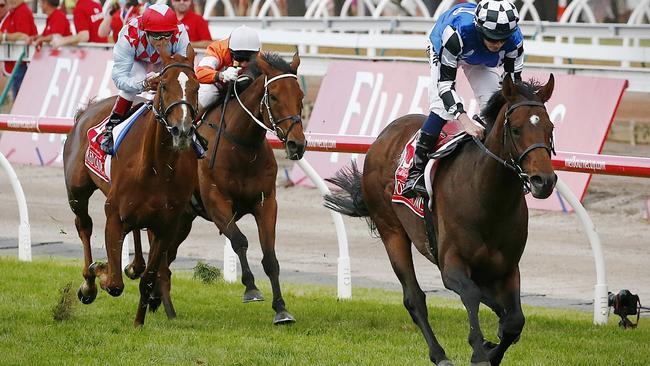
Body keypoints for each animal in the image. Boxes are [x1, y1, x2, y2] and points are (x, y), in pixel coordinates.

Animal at [65, 44, 200, 328]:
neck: (157, 167)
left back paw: (134, 265)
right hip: (76, 193)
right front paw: (100, 271)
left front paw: (138, 322)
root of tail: (86, 111)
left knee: (136, 232)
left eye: (196, 86)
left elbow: (149, 279)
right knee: (84, 225)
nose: (182, 131)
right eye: (163, 86)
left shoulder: (166, 226)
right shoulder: (114, 216)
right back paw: (88, 283)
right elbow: (114, 283)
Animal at [124, 50, 306, 324]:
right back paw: (166, 307)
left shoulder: (266, 203)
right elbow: (239, 241)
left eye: (300, 96)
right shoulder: (216, 201)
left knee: (168, 258)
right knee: (162, 262)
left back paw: (157, 299)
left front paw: (281, 309)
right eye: (273, 96)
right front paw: (251, 289)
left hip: (182, 221)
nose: (297, 144)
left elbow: (270, 256)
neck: (242, 145)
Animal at [324, 75, 556, 366]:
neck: (488, 198)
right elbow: (472, 294)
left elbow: (514, 319)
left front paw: (493, 346)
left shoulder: (509, 267)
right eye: (515, 129)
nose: (544, 181)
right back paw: (440, 354)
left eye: (550, 127)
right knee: (414, 297)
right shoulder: (451, 264)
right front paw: (479, 351)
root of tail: (384, 135)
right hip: (392, 231)